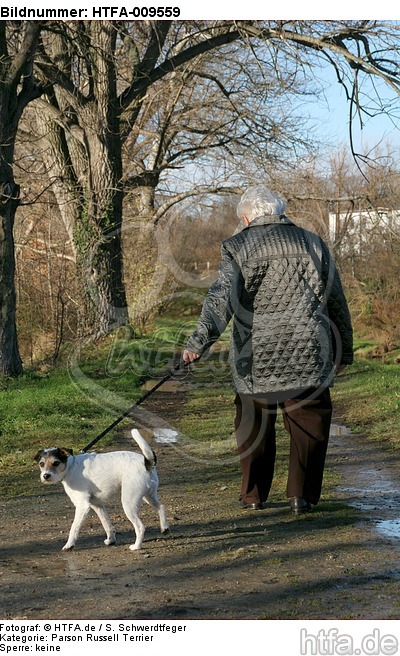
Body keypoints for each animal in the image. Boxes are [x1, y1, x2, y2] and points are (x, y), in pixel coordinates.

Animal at [34, 428, 169, 552]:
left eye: (56, 463)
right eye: (41, 464)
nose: (46, 476)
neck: (70, 467)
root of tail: (147, 463)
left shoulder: (82, 506)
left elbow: (74, 527)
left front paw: (69, 545)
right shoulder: (97, 505)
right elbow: (107, 524)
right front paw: (111, 540)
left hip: (129, 502)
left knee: (140, 526)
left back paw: (136, 546)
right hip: (149, 496)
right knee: (161, 507)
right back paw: (164, 528)